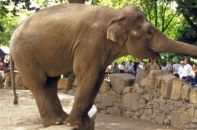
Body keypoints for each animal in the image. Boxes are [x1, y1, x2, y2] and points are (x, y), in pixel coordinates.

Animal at [10, 3, 197, 129]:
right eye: (149, 32)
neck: (115, 14)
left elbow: (98, 79)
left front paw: (83, 122)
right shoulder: (91, 42)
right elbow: (88, 76)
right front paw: (75, 125)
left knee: (50, 82)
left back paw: (61, 119)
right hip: (24, 54)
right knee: (40, 83)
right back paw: (55, 122)